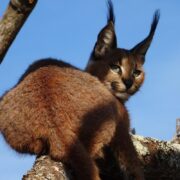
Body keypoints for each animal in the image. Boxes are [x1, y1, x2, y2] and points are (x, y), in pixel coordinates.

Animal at [0, 0, 159, 179]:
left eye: (137, 72)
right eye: (115, 67)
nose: (129, 82)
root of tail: (55, 124)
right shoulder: (123, 129)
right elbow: (133, 165)